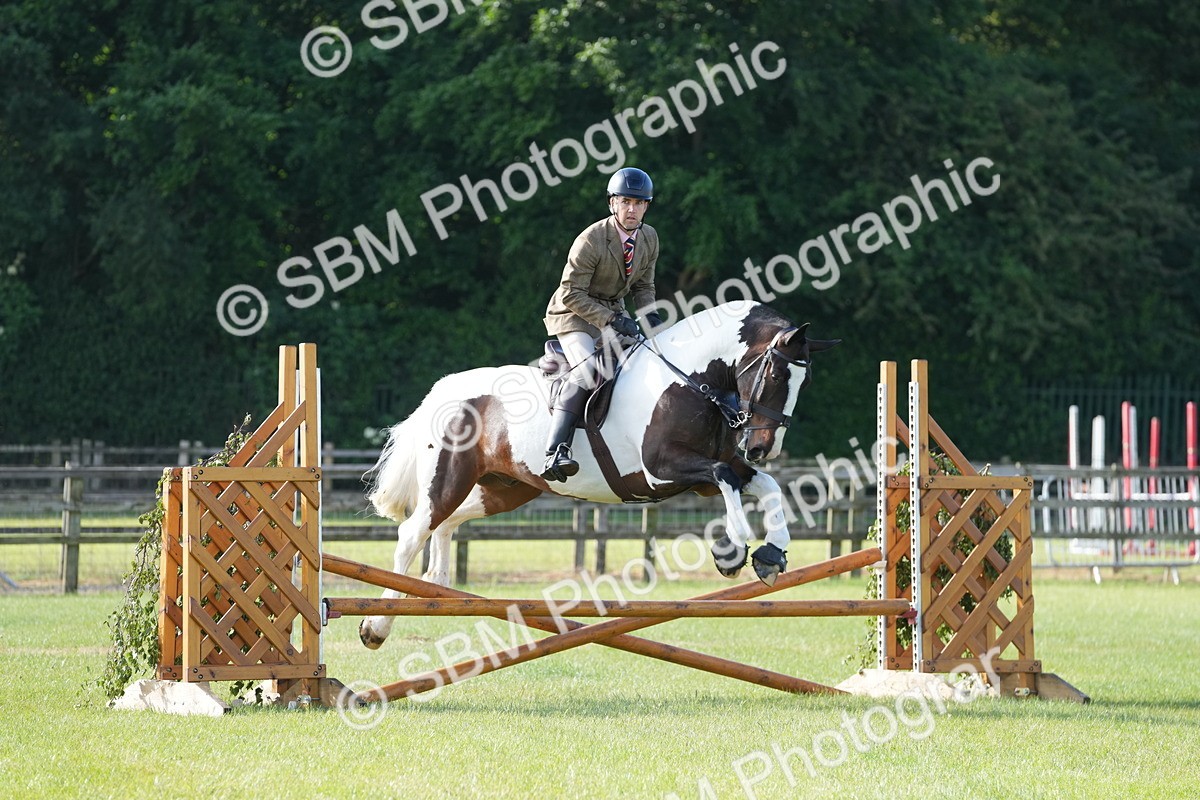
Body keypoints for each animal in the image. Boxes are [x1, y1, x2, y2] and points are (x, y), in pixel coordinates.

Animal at [360, 301, 839, 649]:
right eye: (775, 372)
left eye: (807, 381)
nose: (762, 448)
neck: (692, 383)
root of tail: (443, 389)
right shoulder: (661, 470)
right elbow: (726, 475)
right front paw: (733, 550)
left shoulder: (702, 479)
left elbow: (762, 484)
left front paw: (771, 554)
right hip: (449, 480)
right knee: (412, 534)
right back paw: (377, 627)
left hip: (505, 488)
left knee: (446, 525)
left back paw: (436, 587)